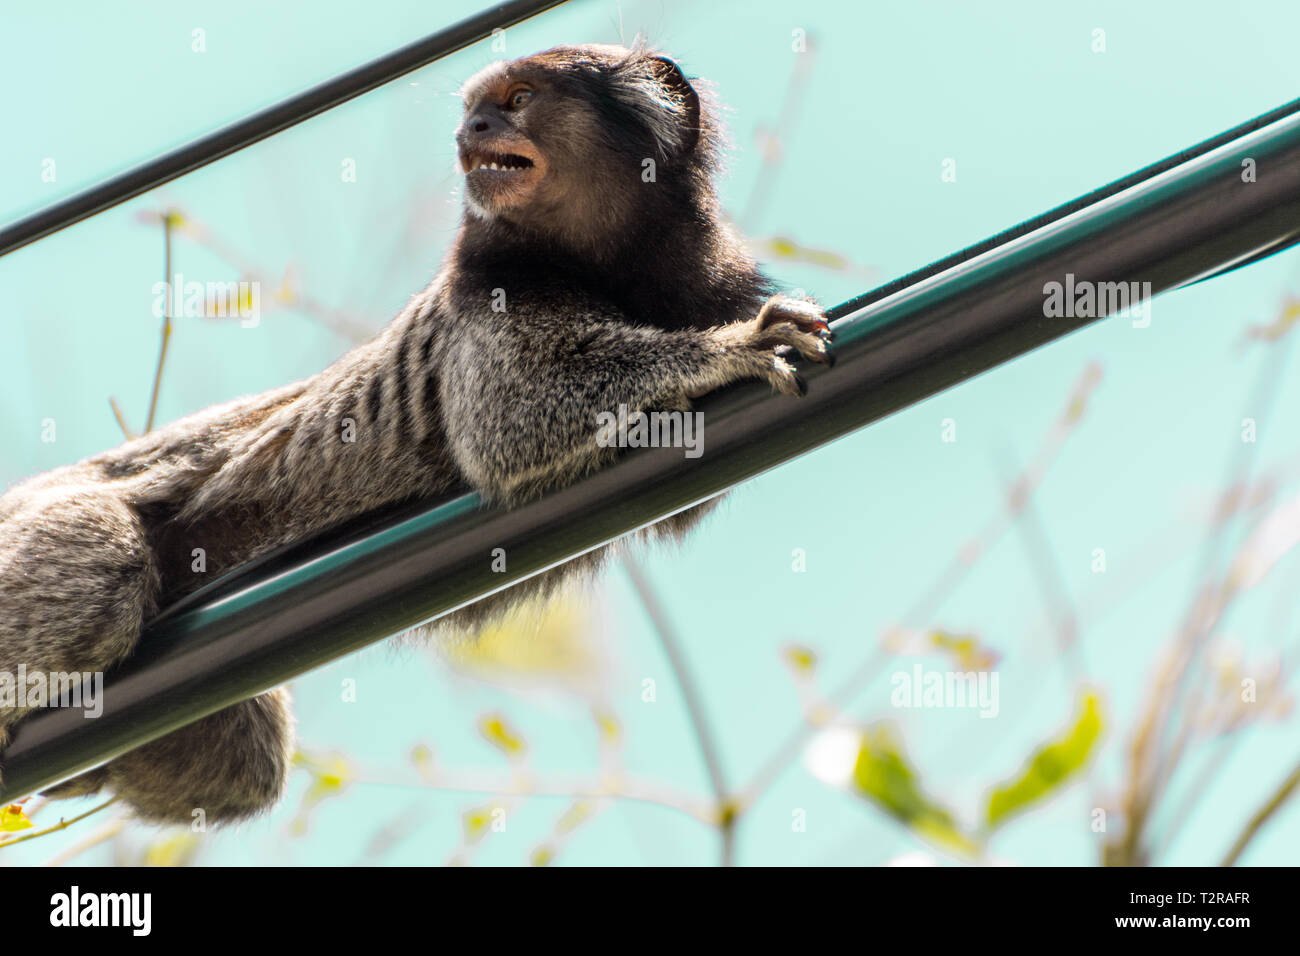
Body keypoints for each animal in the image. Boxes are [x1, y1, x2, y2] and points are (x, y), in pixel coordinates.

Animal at [0, 42, 826, 822]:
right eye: (475, 112)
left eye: (517, 101)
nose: (472, 132)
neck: (611, 257)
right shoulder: (484, 294)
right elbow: (511, 415)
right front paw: (726, 354)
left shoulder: (713, 276)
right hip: (45, 529)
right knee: (102, 574)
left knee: (245, 763)